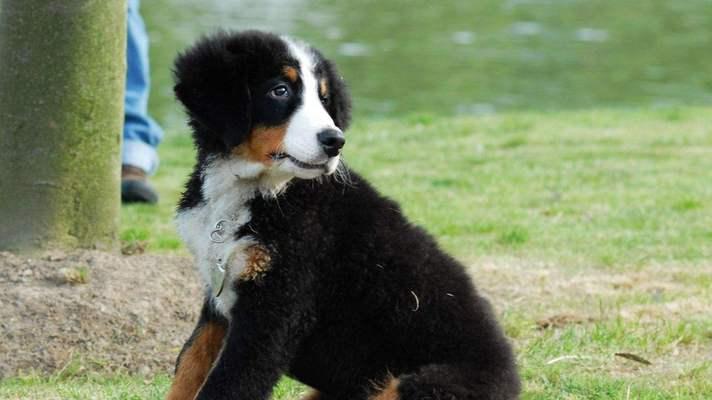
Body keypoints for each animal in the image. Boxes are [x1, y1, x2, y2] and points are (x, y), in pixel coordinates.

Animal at [169, 29, 520, 398]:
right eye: (280, 90)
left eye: (324, 99)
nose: (335, 141)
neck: (257, 191)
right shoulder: (218, 298)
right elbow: (189, 363)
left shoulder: (276, 308)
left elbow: (227, 383)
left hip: (418, 383)